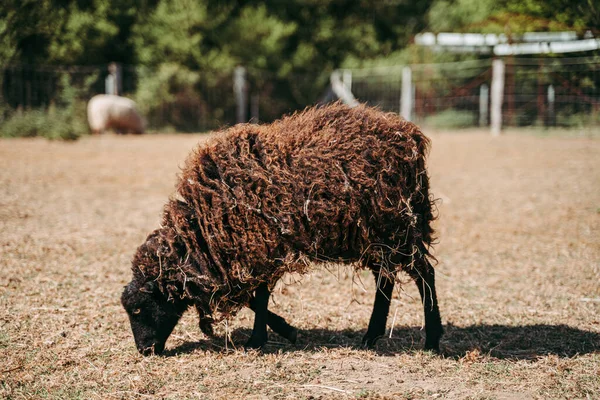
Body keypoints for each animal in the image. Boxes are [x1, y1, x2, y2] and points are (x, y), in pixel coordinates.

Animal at [120, 101, 440, 354]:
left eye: (138, 308)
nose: (144, 350)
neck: (201, 232)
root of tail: (409, 136)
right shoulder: (253, 253)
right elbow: (254, 297)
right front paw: (283, 331)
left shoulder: (258, 247)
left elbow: (258, 297)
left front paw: (260, 338)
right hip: (375, 236)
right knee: (385, 278)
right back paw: (371, 336)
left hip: (398, 227)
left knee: (424, 273)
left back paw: (433, 340)